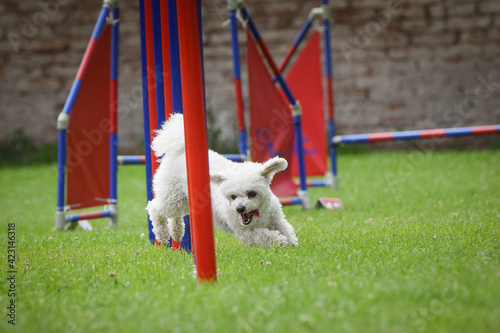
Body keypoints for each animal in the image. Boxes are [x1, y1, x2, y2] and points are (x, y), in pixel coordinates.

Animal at [146, 113, 298, 245]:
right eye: (233, 196)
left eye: (252, 194)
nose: (240, 209)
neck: (259, 216)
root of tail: (180, 150)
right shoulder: (247, 233)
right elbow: (266, 236)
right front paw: (282, 241)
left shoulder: (276, 218)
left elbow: (286, 229)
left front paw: (292, 243)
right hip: (172, 196)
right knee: (155, 209)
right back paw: (162, 235)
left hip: (183, 200)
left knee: (175, 216)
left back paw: (176, 232)